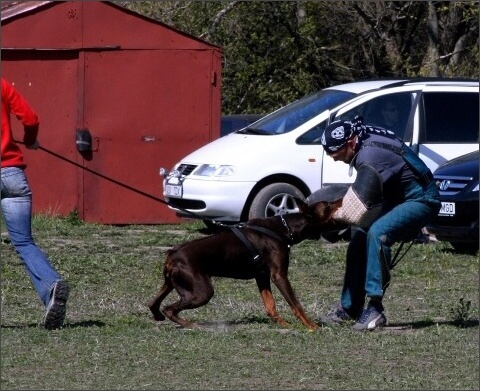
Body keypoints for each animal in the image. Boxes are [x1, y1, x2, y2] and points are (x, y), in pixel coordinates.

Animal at [149, 199, 342, 330]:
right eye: (327, 205)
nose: (341, 198)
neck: (286, 228)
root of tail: (172, 255)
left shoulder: (262, 276)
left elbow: (270, 305)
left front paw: (282, 323)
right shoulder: (279, 275)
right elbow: (296, 304)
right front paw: (311, 325)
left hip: (172, 284)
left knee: (153, 303)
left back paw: (160, 316)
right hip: (202, 291)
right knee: (169, 309)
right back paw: (190, 324)